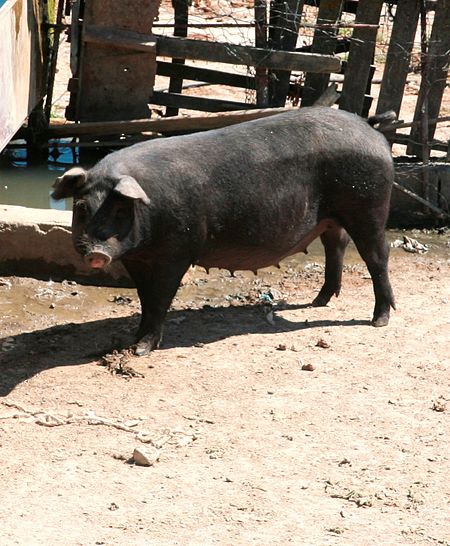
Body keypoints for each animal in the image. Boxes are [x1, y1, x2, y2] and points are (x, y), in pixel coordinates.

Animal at [52, 107, 396, 352]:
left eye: (121, 210)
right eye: (81, 208)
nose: (96, 252)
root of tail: (369, 126)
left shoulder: (177, 251)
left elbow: (160, 298)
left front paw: (141, 350)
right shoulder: (137, 259)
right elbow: (145, 298)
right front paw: (132, 341)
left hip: (368, 206)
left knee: (377, 256)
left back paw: (378, 321)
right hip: (332, 217)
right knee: (336, 245)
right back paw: (318, 301)